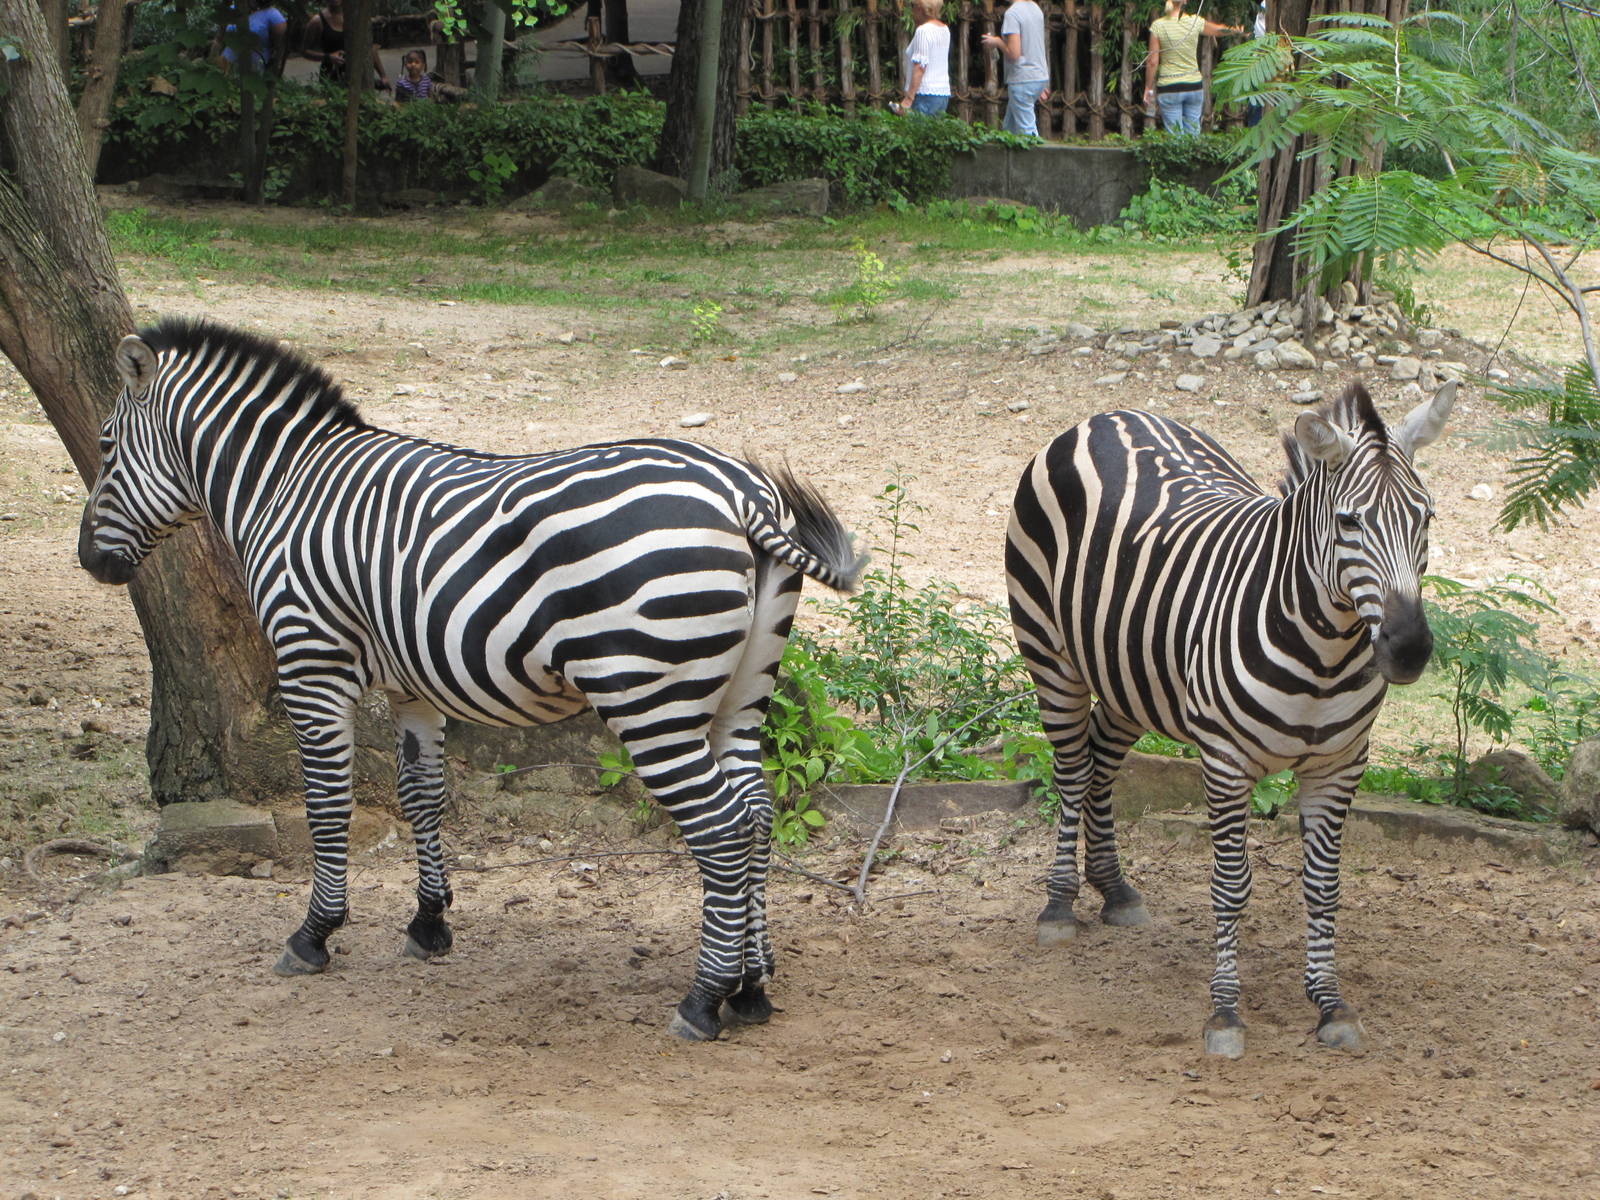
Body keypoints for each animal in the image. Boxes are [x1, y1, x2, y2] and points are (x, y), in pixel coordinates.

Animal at [78, 317, 864, 1042]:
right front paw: (429, 923)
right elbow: (421, 797)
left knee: (722, 827)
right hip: (741, 694)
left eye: (106, 447)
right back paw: (752, 987)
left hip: (648, 697)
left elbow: (327, 806)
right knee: (757, 814)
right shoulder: (411, 686)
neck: (285, 487)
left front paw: (315, 933)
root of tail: (739, 492)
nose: (90, 561)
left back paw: (703, 999)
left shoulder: (312, 660)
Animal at [1005, 381, 1455, 1058]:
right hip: (1051, 656)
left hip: (1131, 673)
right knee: (1073, 771)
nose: (1408, 649)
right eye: (1349, 522)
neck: (1323, 655)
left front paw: (1329, 1004)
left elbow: (1324, 886)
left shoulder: (1339, 766)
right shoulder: (1225, 761)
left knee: (1104, 762)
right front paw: (1224, 1012)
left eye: (1424, 518)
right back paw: (1059, 905)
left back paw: (1114, 888)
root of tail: (1110, 415)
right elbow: (1231, 885)